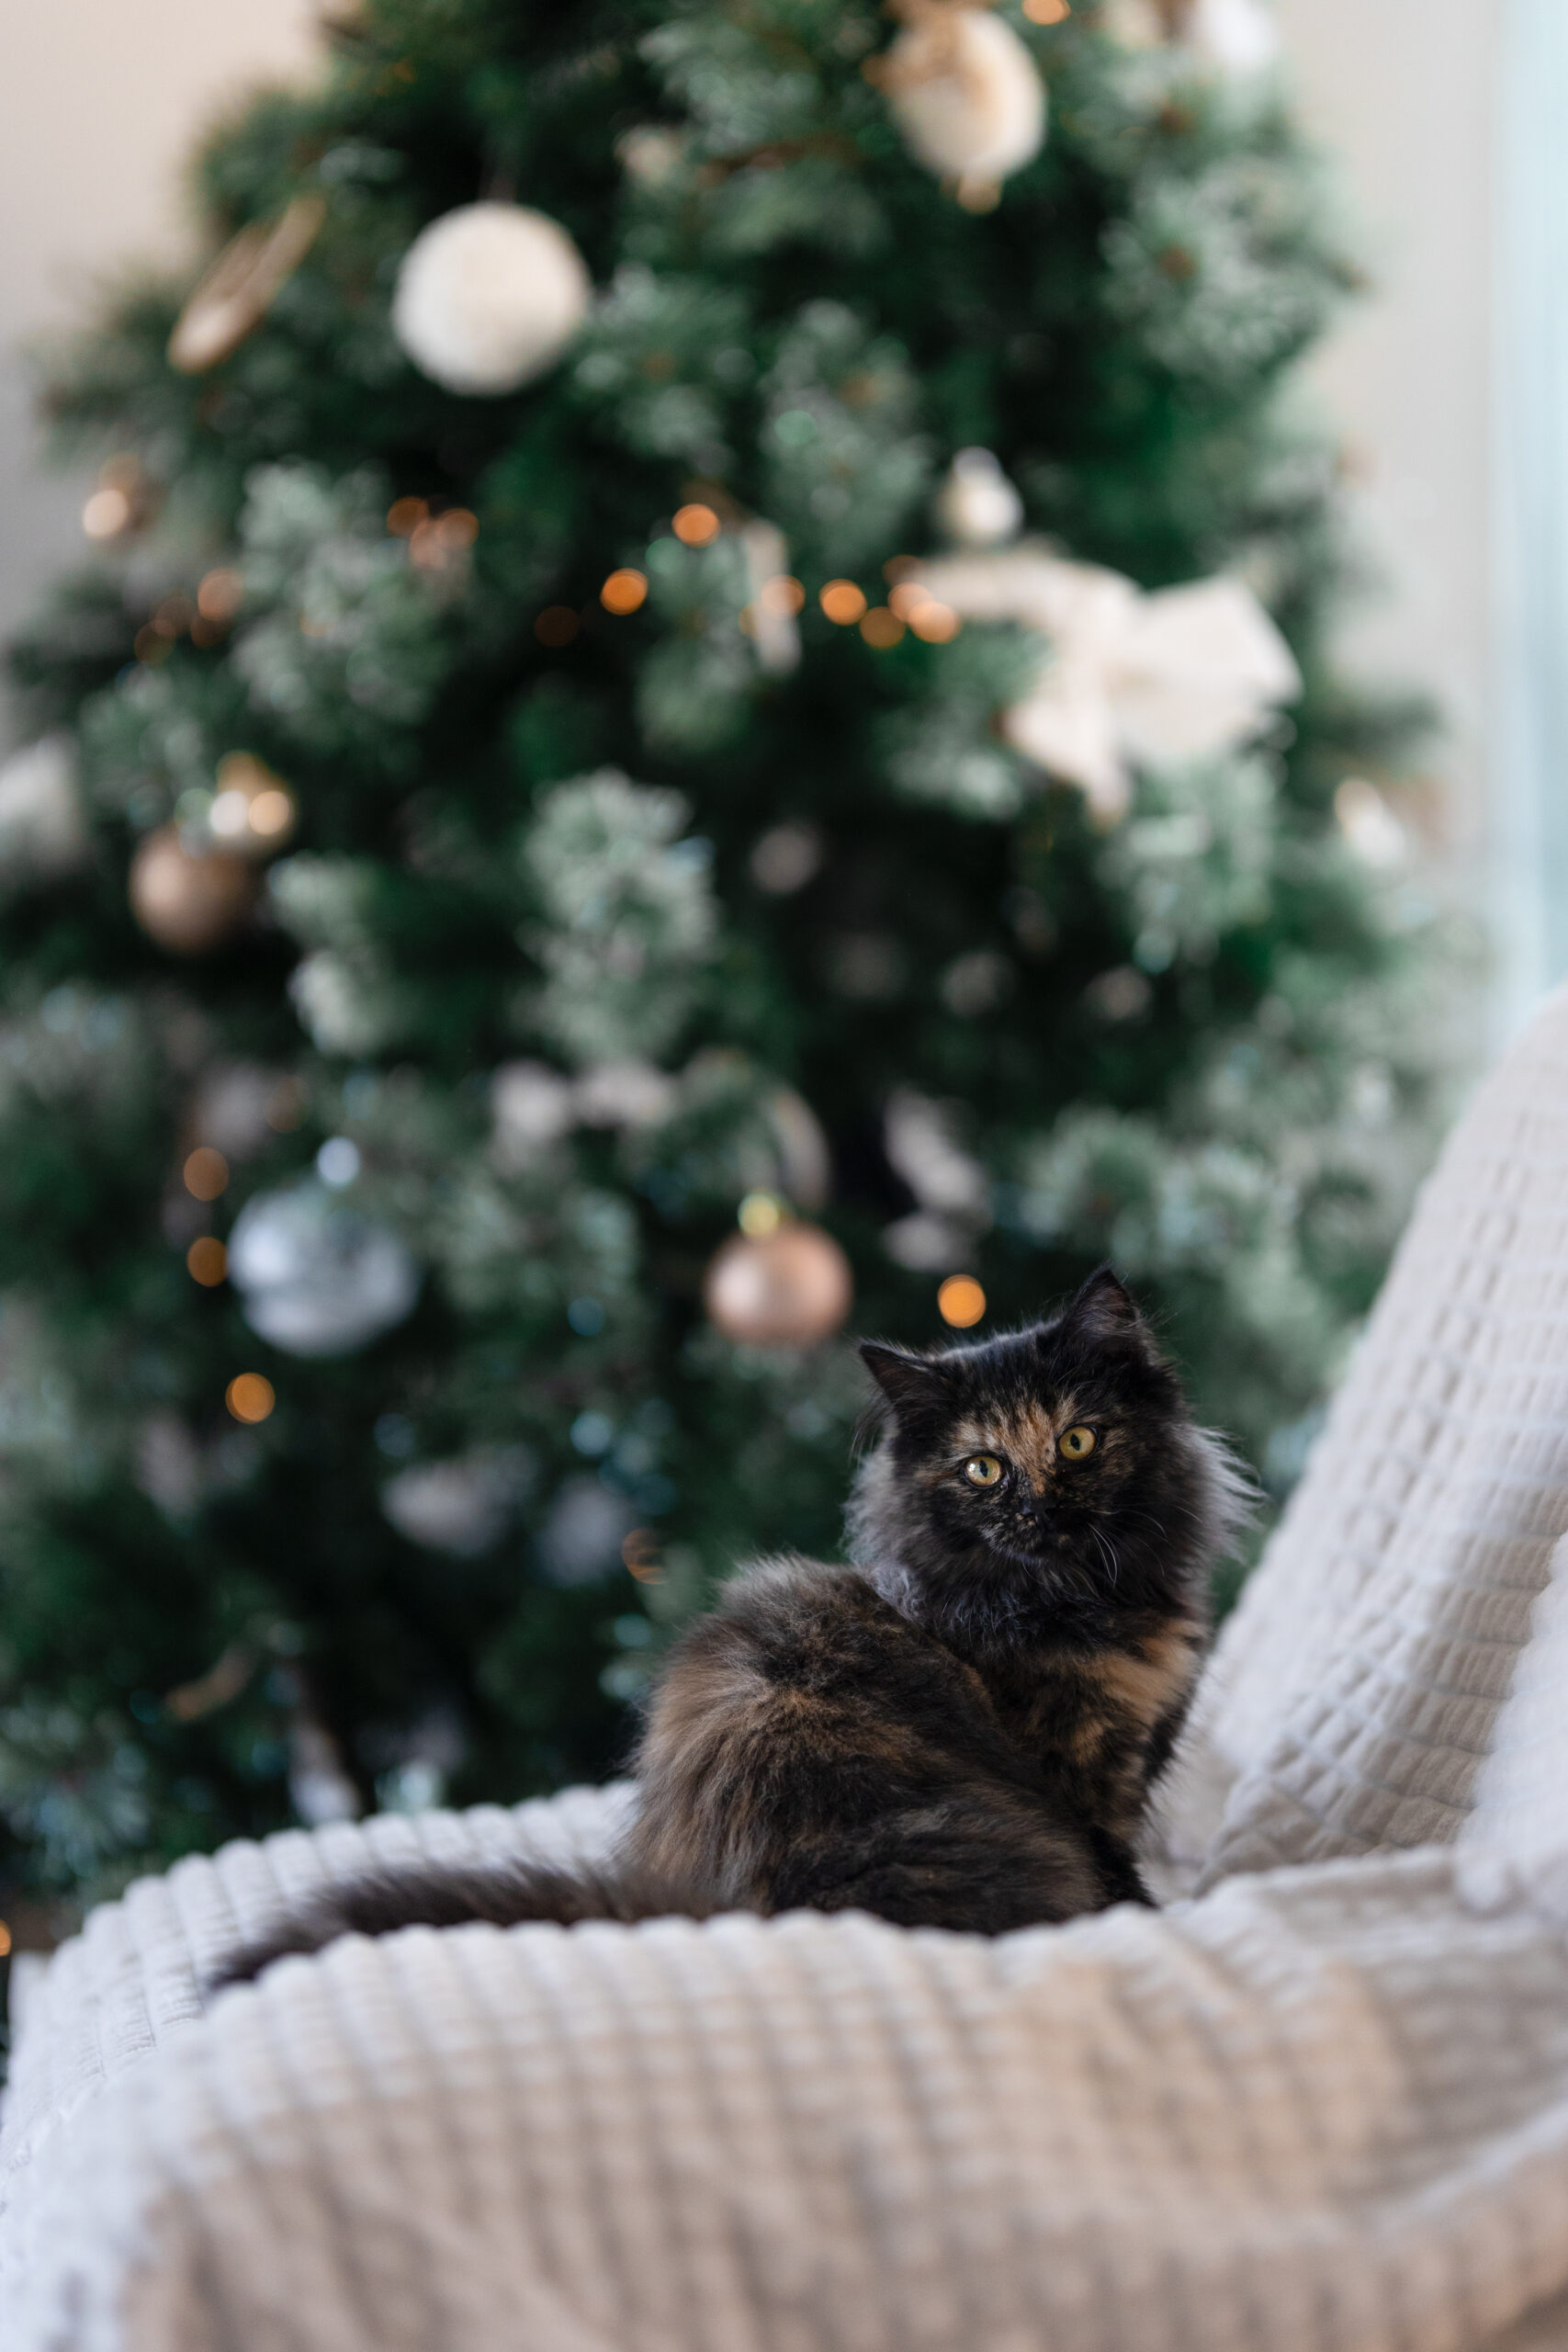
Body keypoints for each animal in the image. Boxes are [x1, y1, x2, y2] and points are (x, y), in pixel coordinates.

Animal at [211, 1268, 1249, 1985]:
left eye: (1076, 1439)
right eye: (983, 1468)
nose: (1037, 1509)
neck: (1071, 1600)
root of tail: (703, 1906)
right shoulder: (1084, 1784)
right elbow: (1123, 1878)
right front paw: (1159, 1917)